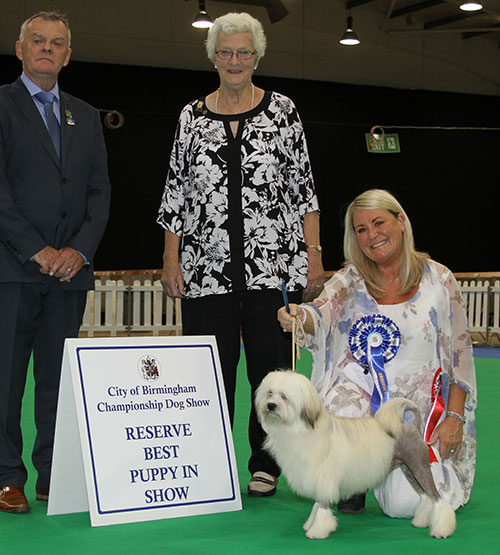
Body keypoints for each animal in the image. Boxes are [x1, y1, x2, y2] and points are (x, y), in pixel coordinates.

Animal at [256, 372, 456, 540]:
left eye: (284, 396)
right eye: (270, 393)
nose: (271, 405)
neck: (300, 428)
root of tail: (410, 426)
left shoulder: (324, 478)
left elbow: (322, 507)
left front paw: (318, 531)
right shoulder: (320, 480)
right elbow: (317, 504)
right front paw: (311, 524)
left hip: (419, 467)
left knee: (437, 498)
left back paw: (441, 530)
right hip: (409, 469)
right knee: (425, 496)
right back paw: (421, 521)